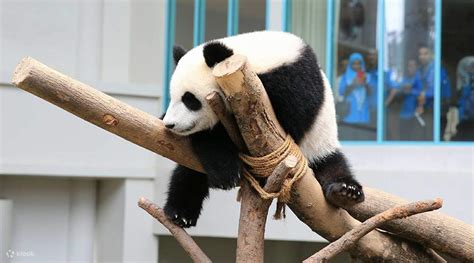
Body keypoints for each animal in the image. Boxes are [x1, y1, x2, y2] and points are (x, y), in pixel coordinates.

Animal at [162, 30, 362, 229]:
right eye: (173, 97)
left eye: (190, 99)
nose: (170, 124)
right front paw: (224, 170)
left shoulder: (291, 82)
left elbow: (289, 121)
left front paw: (225, 166)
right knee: (187, 174)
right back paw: (180, 213)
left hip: (319, 141)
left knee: (333, 166)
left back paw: (346, 191)